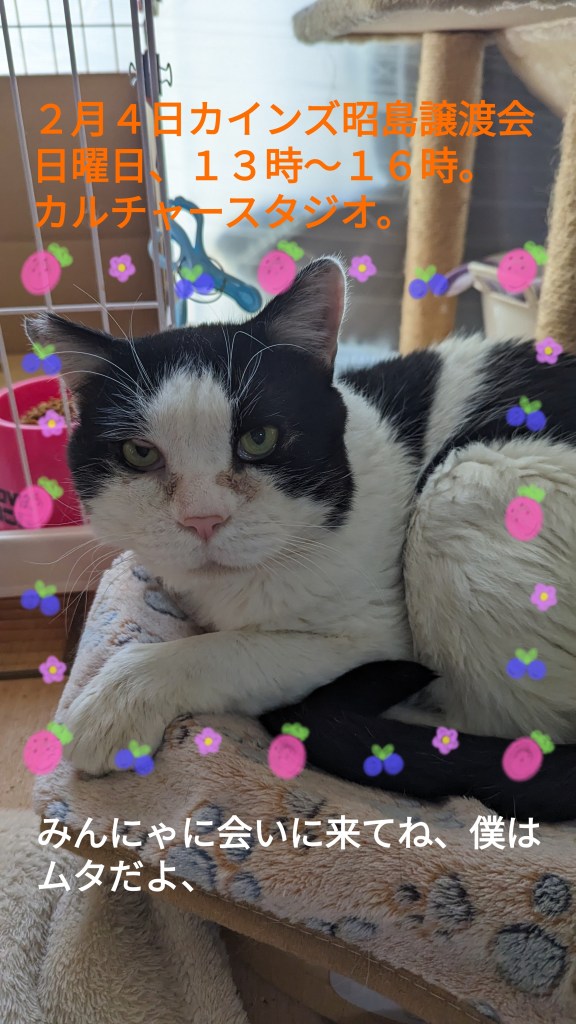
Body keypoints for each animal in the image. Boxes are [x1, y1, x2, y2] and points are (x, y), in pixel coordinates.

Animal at [25, 257, 576, 776]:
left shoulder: (372, 635)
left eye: (259, 439)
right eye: (139, 453)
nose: (203, 519)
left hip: (464, 485)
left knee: (503, 720)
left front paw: (117, 698)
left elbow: (226, 650)